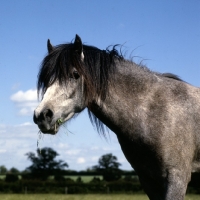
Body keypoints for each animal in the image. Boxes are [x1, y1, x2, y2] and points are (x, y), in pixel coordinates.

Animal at [33, 34, 200, 198]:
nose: (42, 115)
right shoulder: (149, 181)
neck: (154, 112)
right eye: (46, 78)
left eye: (75, 74)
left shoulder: (176, 179)